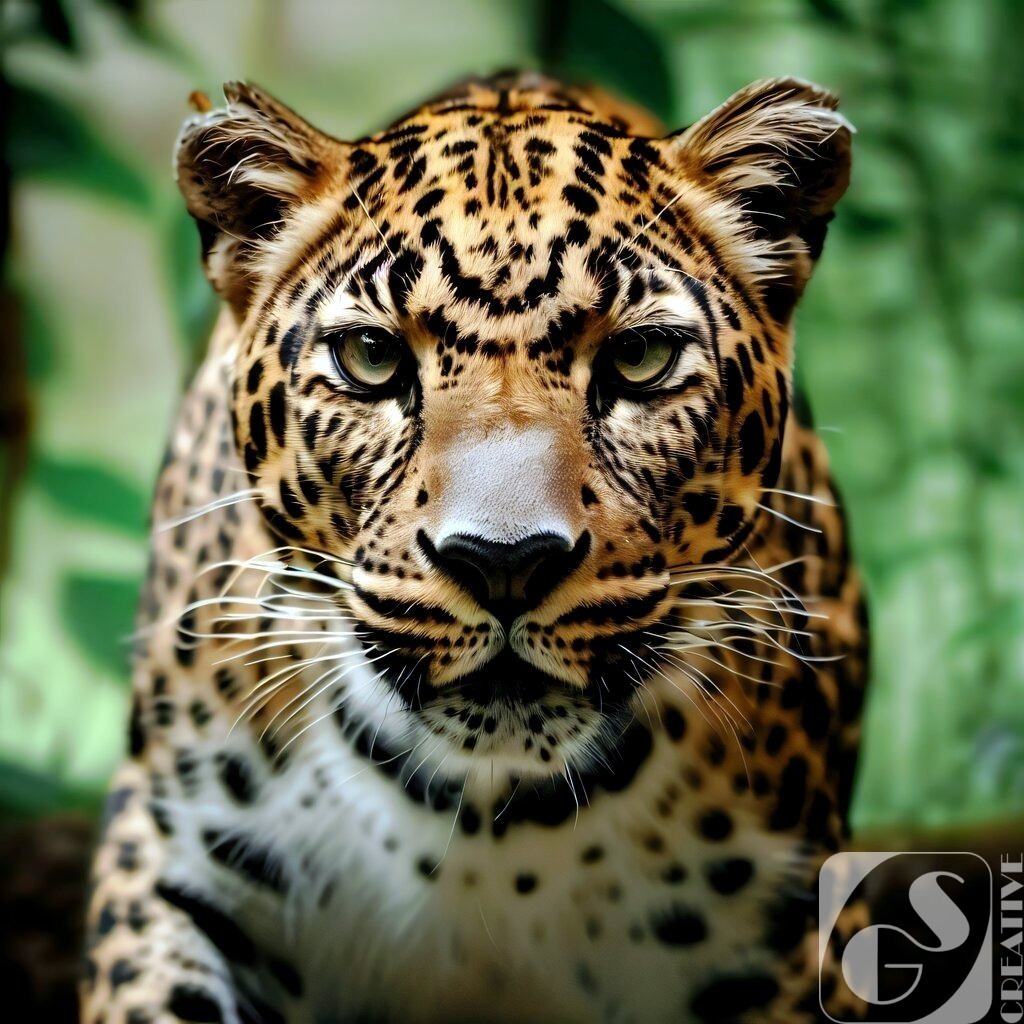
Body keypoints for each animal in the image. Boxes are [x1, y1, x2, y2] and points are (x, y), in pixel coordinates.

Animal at [80, 71, 870, 1024]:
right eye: (371, 356)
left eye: (640, 357)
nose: (505, 563)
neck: (488, 819)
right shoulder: (167, 852)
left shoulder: (792, 933)